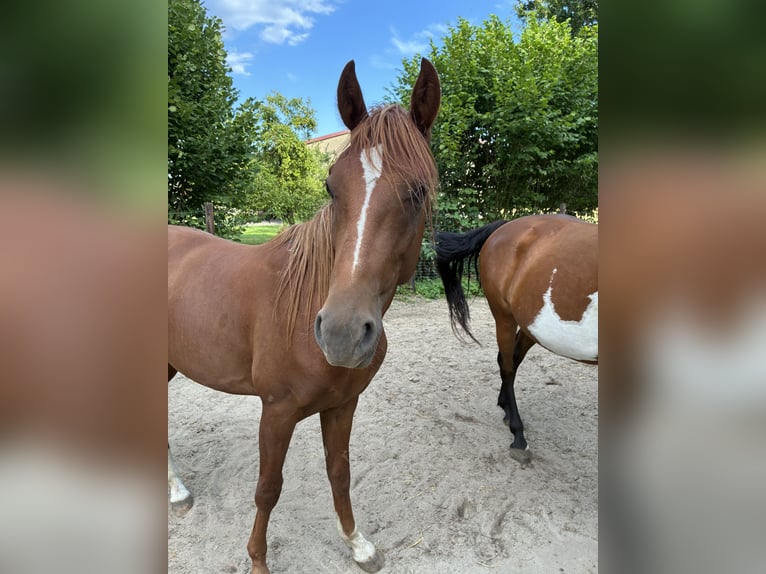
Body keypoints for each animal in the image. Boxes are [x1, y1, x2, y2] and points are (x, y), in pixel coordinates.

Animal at [168, 58, 440, 574]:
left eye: (418, 191)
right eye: (331, 187)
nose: (341, 333)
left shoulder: (342, 406)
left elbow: (339, 472)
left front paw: (357, 543)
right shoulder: (276, 412)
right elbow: (268, 489)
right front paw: (258, 561)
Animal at [435, 214, 597, 464]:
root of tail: (505, 225)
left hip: (532, 325)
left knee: (512, 358)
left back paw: (506, 408)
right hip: (504, 316)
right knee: (507, 367)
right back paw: (518, 435)